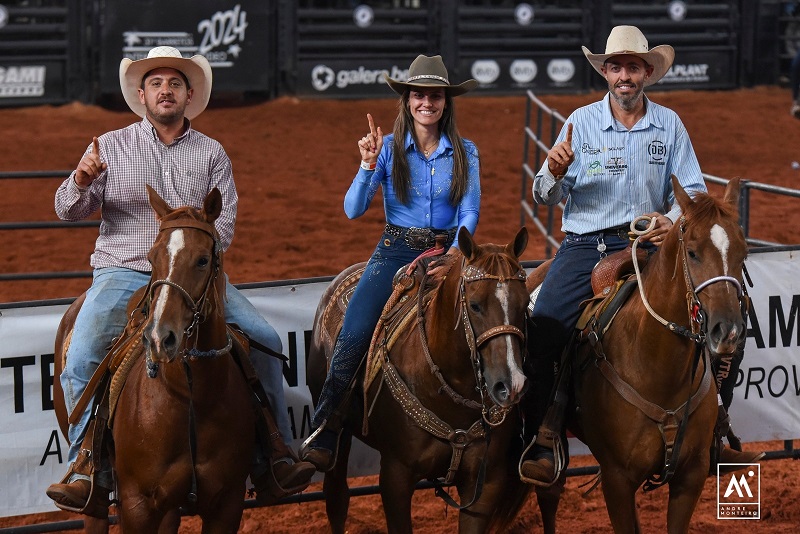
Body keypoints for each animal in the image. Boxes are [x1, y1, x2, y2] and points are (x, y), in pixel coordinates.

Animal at [54, 186, 253, 532]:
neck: (191, 395)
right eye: (151, 257)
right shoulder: (138, 504)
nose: (160, 337)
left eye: (203, 260)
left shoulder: (227, 502)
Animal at [306, 227, 536, 534]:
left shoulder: (485, 484)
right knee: (337, 497)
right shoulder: (396, 476)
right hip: (337, 436)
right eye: (475, 306)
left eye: (524, 304)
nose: (511, 385)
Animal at [536, 178, 748, 532]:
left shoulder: (690, 477)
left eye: (743, 253)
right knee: (548, 494)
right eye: (692, 252)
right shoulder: (617, 480)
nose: (728, 330)